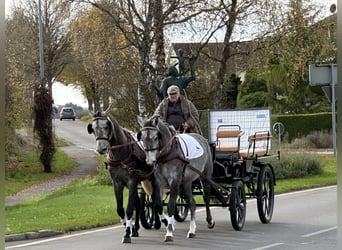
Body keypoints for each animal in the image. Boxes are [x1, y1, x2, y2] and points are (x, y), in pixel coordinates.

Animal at [88, 108, 158, 243]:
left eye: (106, 126)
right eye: (92, 128)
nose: (101, 149)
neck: (120, 155)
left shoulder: (132, 181)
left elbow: (129, 208)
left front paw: (126, 234)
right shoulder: (117, 183)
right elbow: (120, 209)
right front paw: (128, 227)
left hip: (151, 178)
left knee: (155, 198)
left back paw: (158, 221)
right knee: (139, 203)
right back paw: (135, 229)